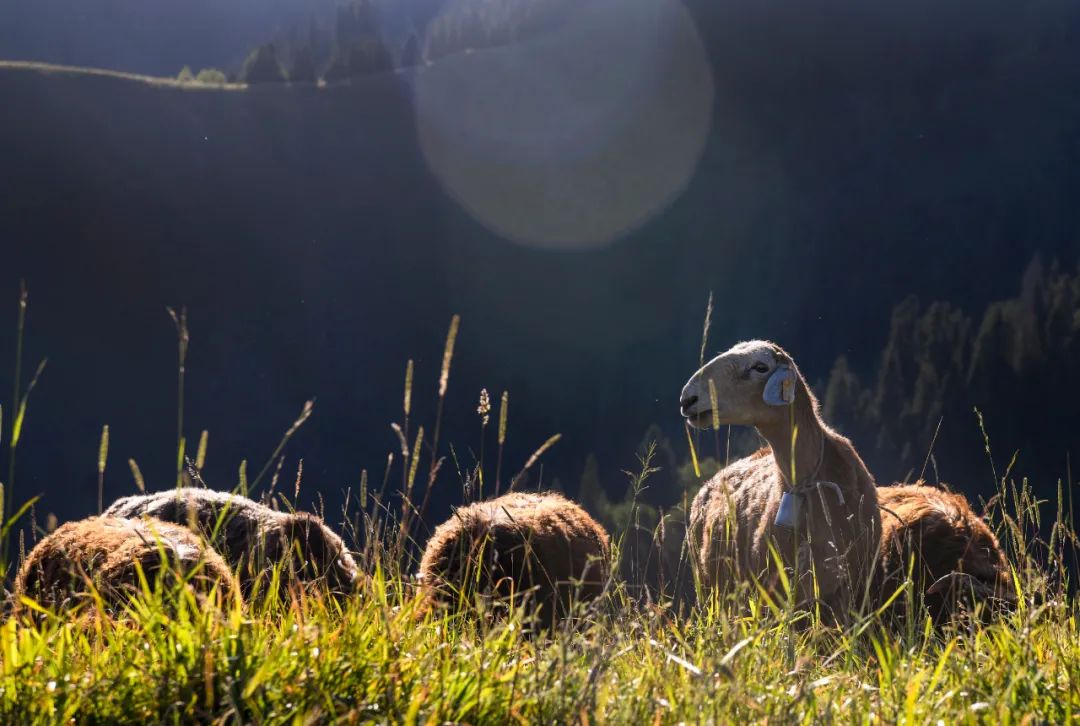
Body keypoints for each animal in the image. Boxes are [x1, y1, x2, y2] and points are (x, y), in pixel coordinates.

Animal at [678, 337, 881, 622]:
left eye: (760, 367)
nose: (689, 398)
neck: (808, 483)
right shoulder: (775, 595)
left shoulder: (852, 592)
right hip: (711, 594)